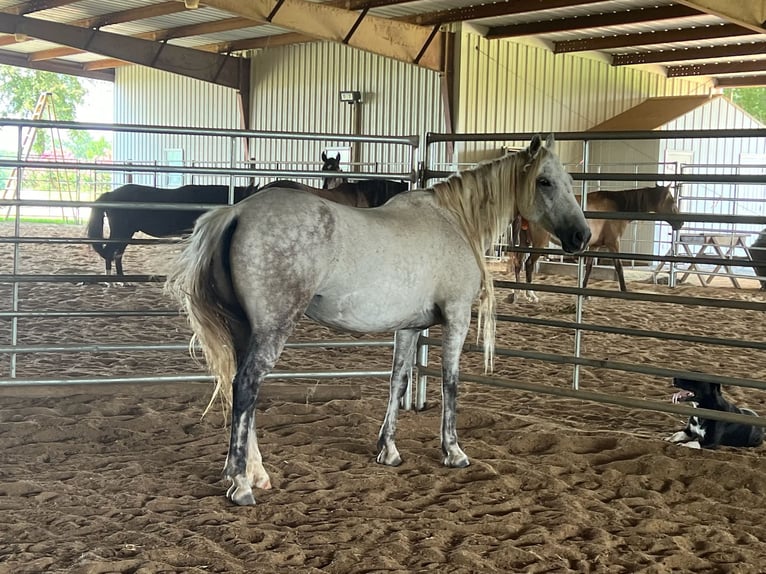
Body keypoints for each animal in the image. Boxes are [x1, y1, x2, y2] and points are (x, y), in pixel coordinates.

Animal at [165, 134, 591, 506]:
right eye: (545, 181)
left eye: (570, 182)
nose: (581, 236)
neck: (455, 221)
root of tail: (236, 213)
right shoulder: (456, 317)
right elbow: (450, 383)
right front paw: (453, 451)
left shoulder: (410, 327)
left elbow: (398, 381)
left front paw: (388, 449)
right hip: (273, 329)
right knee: (247, 387)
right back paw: (240, 484)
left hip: (244, 330)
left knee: (241, 389)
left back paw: (256, 474)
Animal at [506, 184, 682, 301]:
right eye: (672, 201)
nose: (680, 224)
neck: (618, 206)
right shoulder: (613, 244)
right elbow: (619, 267)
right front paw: (624, 291)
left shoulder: (595, 245)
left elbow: (590, 268)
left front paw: (584, 294)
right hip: (539, 242)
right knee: (529, 264)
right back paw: (531, 294)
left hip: (525, 240)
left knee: (518, 263)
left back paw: (517, 293)